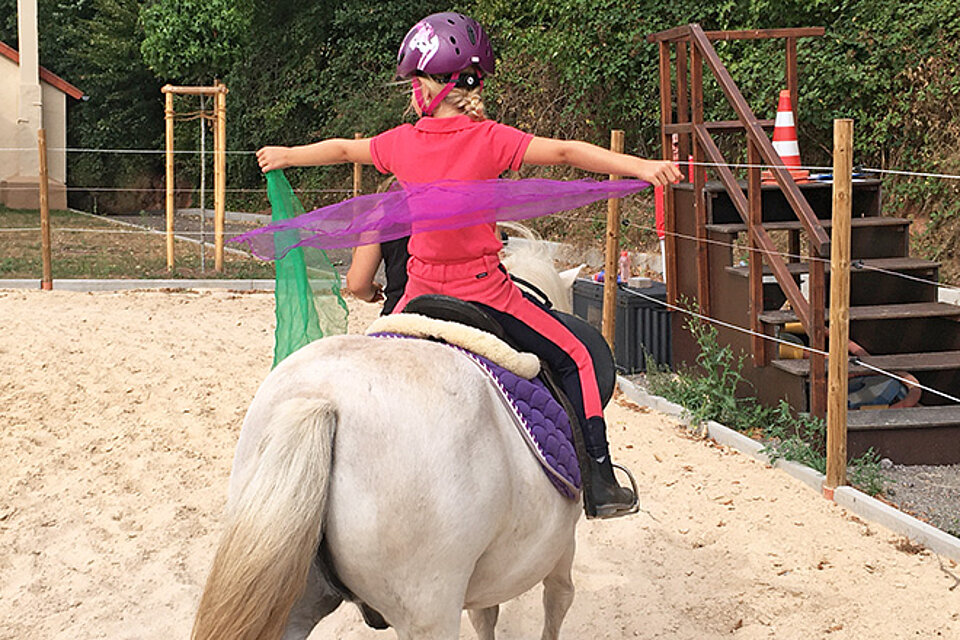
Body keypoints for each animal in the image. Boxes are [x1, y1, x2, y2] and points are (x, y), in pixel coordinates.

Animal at [193, 228, 584, 636]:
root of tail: (322, 400)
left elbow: (486, 614)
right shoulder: (562, 542)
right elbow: (558, 598)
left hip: (293, 600)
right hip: (428, 611)